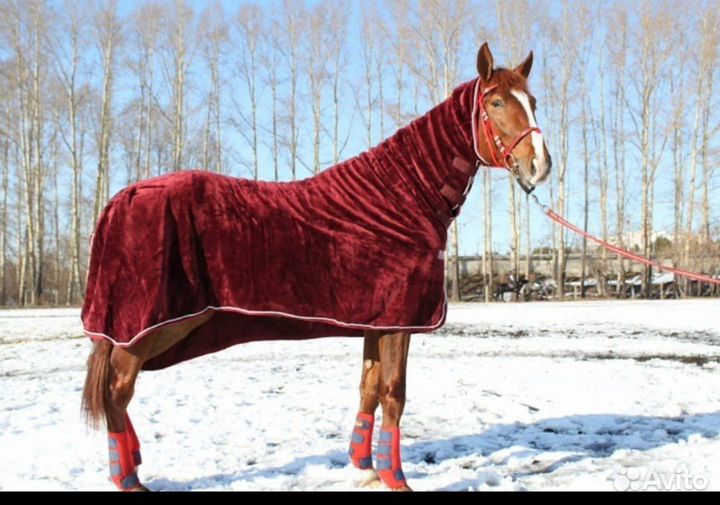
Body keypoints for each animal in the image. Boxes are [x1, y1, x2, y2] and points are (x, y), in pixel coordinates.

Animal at [81, 42, 551, 492]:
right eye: (495, 103)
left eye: (532, 101)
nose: (540, 166)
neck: (399, 197)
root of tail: (125, 195)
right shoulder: (399, 323)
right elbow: (394, 394)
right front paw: (396, 479)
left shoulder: (377, 323)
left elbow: (369, 389)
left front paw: (366, 469)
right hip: (149, 328)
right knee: (117, 390)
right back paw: (128, 479)